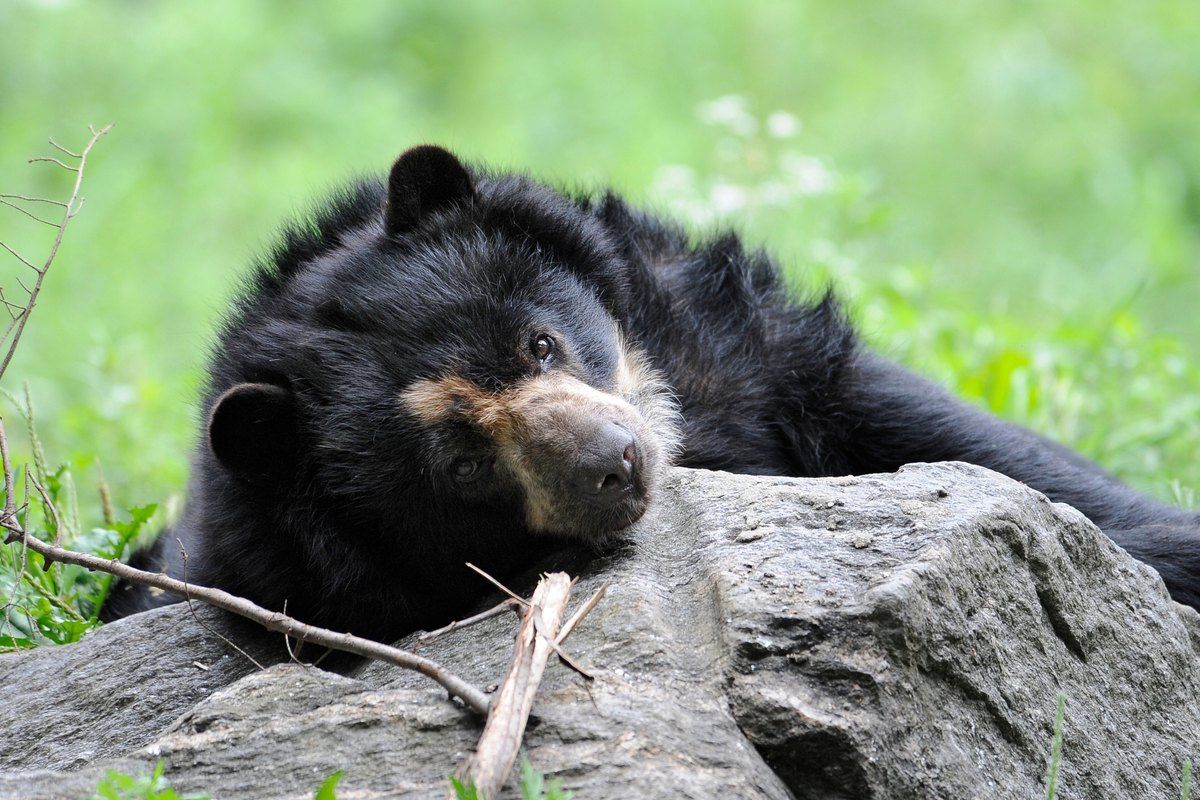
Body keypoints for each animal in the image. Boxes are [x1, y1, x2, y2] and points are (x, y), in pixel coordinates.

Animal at [102, 145, 1200, 640]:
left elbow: (954, 434)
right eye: (462, 461)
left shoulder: (729, 338)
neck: (681, 419)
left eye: (541, 342)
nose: (618, 461)